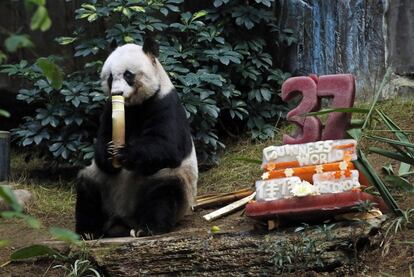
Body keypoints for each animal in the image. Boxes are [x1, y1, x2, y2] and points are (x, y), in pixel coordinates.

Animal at [75, 38, 198, 237]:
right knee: (87, 188)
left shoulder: (165, 102)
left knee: (163, 192)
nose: (117, 93)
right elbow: (103, 140)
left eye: (128, 75)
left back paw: (148, 228)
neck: (132, 106)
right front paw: (109, 153)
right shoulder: (110, 109)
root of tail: (122, 219)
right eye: (110, 77)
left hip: (166, 182)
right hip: (102, 185)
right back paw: (88, 231)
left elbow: (167, 145)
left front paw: (124, 153)